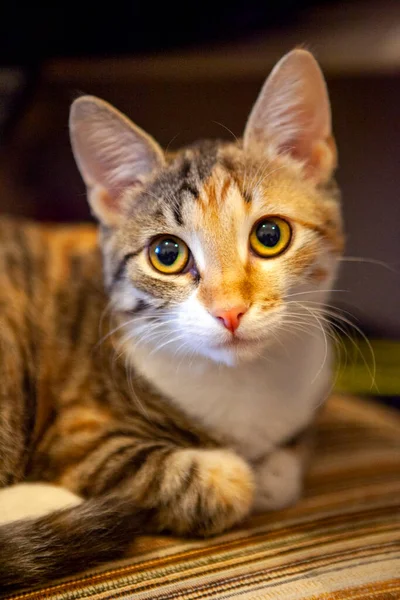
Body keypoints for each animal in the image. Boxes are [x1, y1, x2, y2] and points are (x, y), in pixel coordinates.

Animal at [0, 48, 344, 592]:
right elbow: (225, 481)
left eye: (270, 235)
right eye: (167, 254)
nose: (229, 310)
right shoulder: (77, 435)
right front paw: (243, 475)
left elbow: (288, 467)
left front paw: (275, 469)